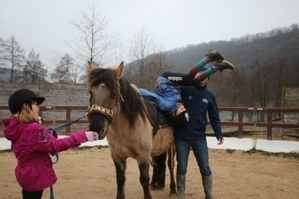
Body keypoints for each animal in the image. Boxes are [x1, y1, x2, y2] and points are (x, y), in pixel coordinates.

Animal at [85, 61, 177, 198]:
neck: (126, 129)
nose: (96, 128)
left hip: (172, 145)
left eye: (114, 94)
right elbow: (120, 180)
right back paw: (156, 184)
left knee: (171, 165)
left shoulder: (143, 156)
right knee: (158, 164)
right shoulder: (117, 156)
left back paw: (173, 190)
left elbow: (144, 180)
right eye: (91, 93)